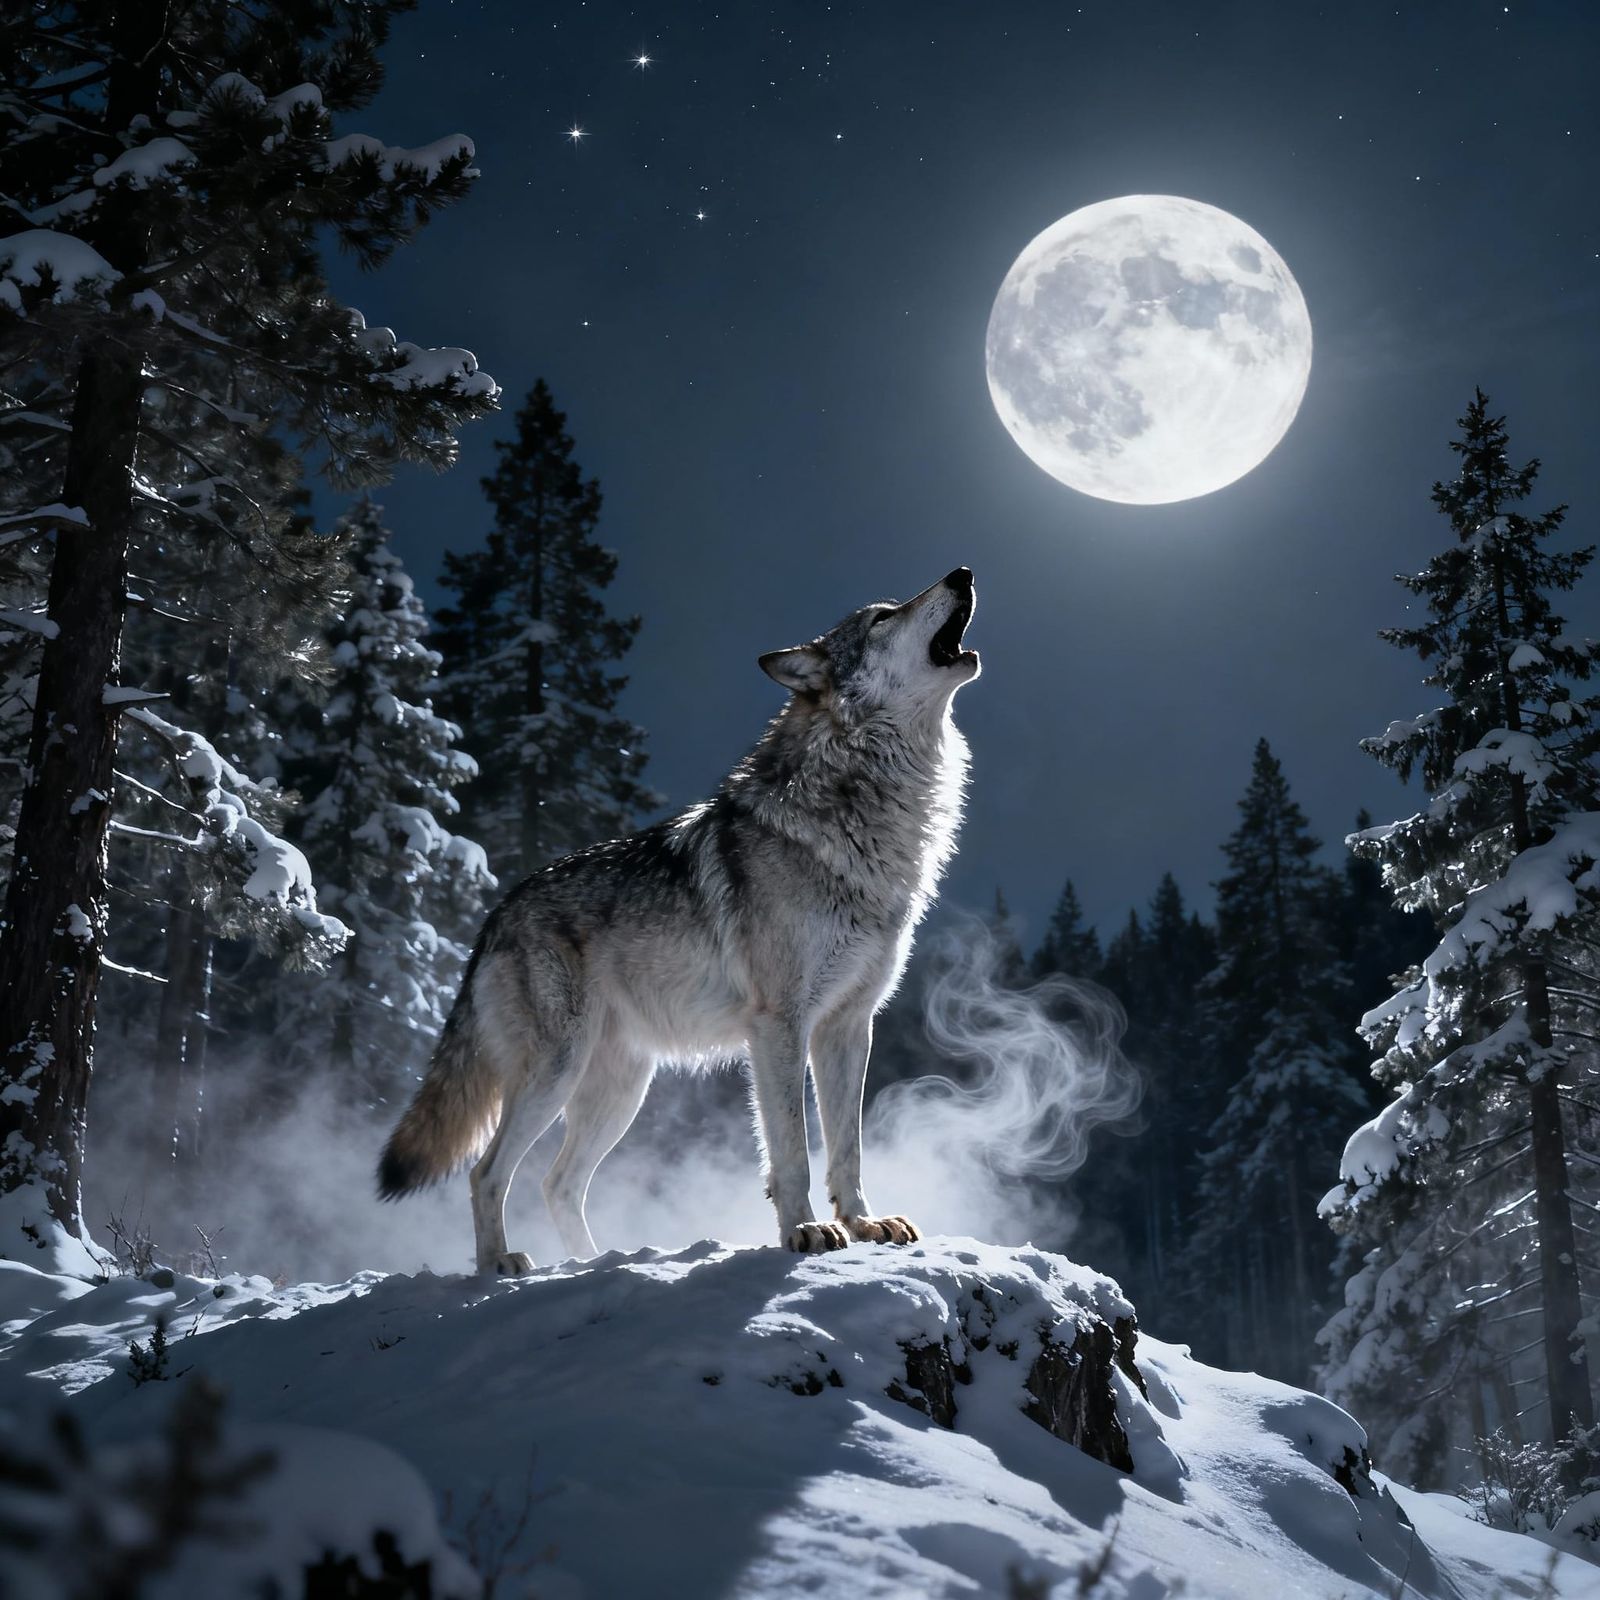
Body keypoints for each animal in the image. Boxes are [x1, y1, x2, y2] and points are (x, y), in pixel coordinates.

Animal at [377, 567, 980, 1273]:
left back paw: (597, 1260)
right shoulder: (778, 1024)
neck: (861, 814)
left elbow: (847, 1149)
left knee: (557, 1183)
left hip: (620, 1091)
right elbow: (792, 1150)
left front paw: (862, 1223)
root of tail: (494, 914)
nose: (962, 573)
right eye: (884, 617)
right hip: (557, 1073)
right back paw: (500, 1264)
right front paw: (804, 1232)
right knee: (487, 1172)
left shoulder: (849, 1026)